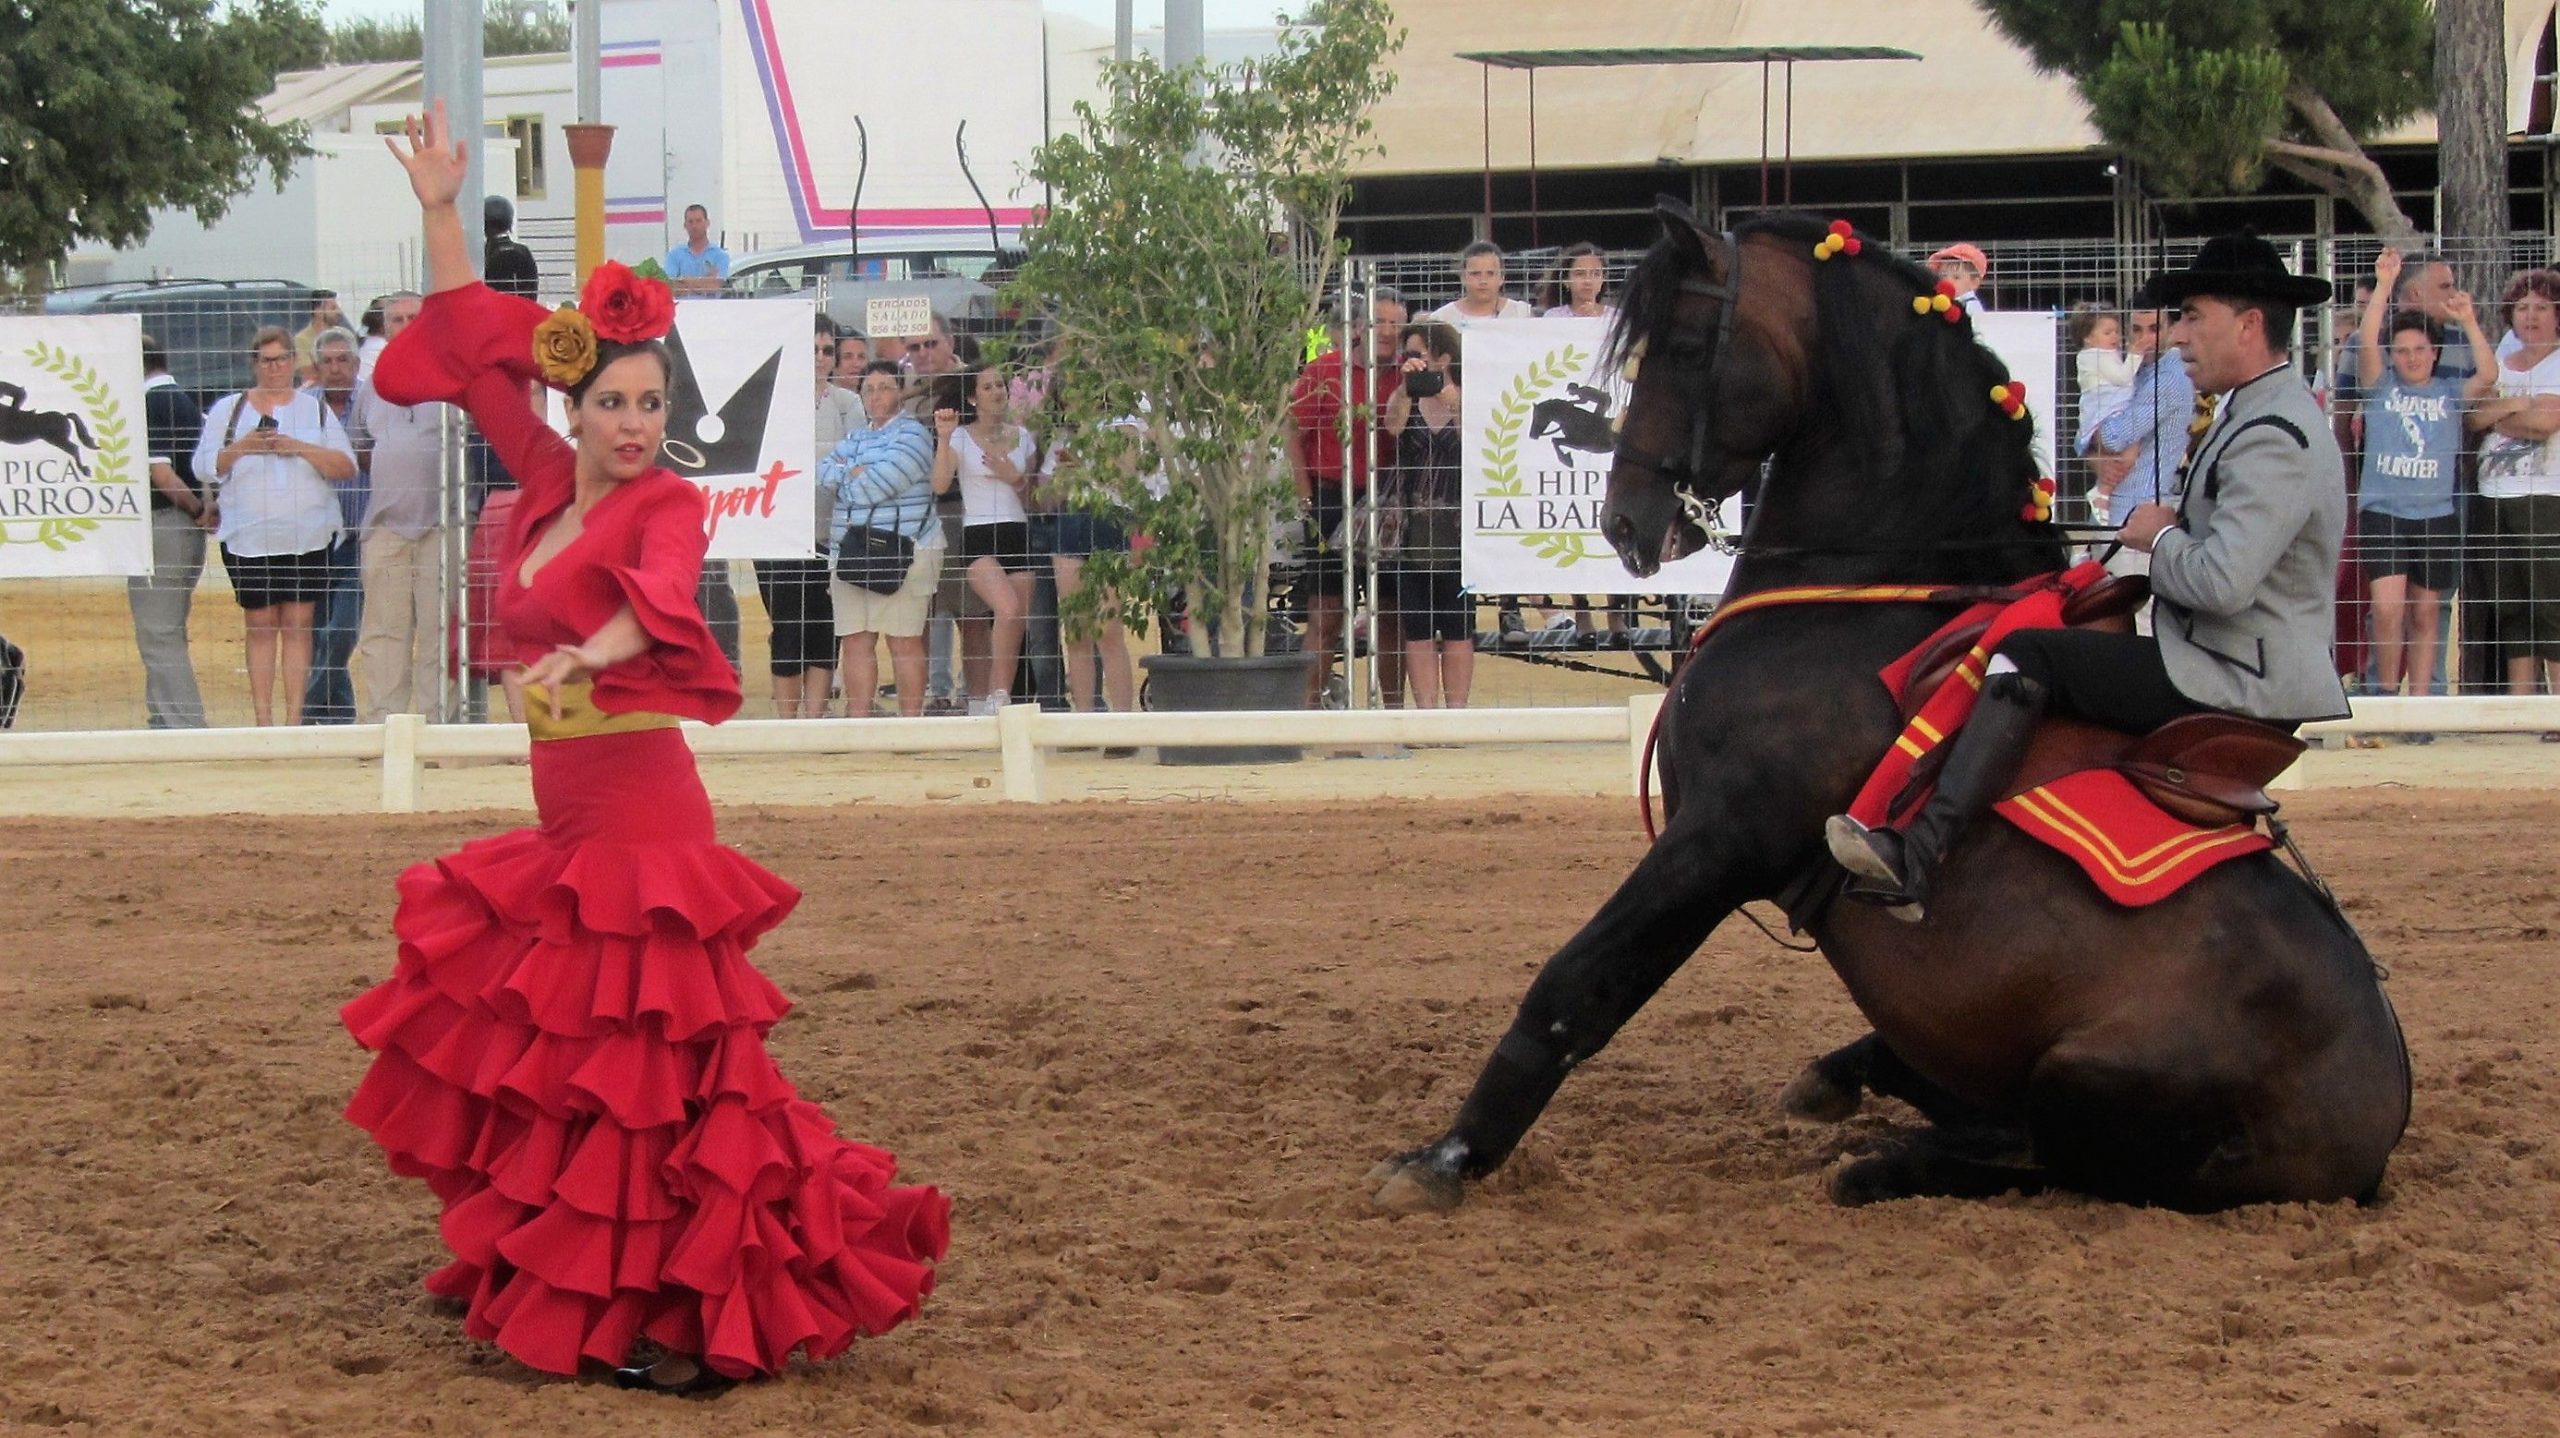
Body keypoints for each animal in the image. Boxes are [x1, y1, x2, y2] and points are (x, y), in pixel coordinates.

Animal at [1372, 204, 2406, 1207]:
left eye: (1688, 348)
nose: (1627, 521)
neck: (1869, 591)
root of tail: (2381, 1122)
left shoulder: (1720, 839)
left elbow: (1576, 988)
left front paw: (1446, 1159)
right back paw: (1850, 1087)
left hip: (2088, 1080)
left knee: (2035, 1155)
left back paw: (1880, 1161)